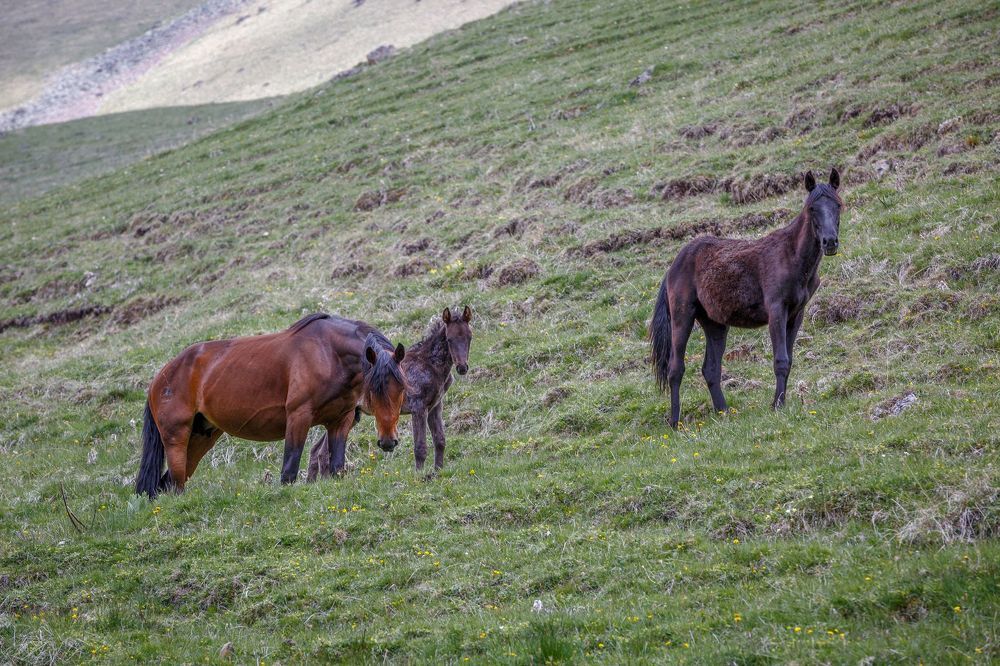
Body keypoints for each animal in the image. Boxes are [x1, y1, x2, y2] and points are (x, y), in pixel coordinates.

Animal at [135, 313, 406, 498]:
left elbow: (336, 466)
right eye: (374, 390)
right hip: (177, 438)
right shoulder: (298, 416)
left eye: (402, 388)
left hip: (201, 437)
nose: (388, 442)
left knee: (169, 482)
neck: (328, 353)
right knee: (176, 483)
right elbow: (289, 471)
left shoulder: (341, 420)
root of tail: (159, 378)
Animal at [307, 305, 473, 478]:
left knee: (316, 449)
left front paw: (437, 472)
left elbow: (440, 440)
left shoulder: (435, 405)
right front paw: (419, 476)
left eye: (469, 337)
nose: (462, 367)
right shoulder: (418, 407)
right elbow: (420, 447)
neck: (432, 366)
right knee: (322, 452)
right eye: (449, 339)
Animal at [650, 168, 842, 428]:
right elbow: (781, 360)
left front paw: (781, 402)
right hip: (682, 317)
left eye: (838, 204)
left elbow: (789, 360)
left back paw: (723, 412)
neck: (792, 256)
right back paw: (675, 422)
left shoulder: (796, 314)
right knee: (675, 368)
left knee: (711, 369)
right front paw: (777, 406)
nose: (830, 242)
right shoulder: (776, 311)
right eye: (812, 208)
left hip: (715, 324)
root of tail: (673, 267)